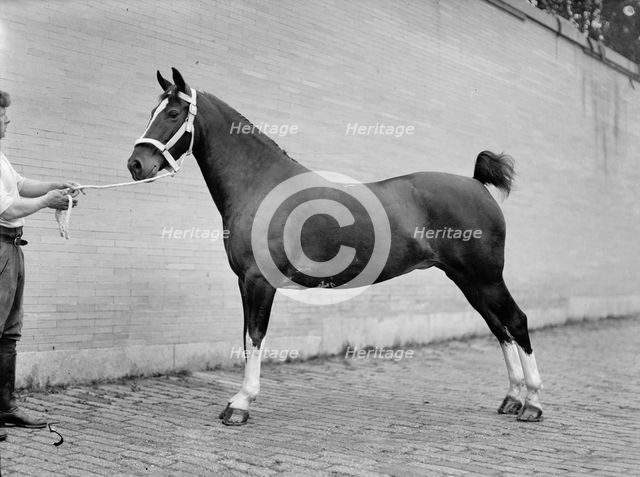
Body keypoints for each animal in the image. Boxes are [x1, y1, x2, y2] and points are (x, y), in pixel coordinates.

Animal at [127, 68, 543, 426]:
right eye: (152, 112)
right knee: (499, 328)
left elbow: (256, 337)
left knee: (516, 321)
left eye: (174, 113)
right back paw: (512, 398)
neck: (261, 184)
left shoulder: (259, 281)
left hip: (486, 278)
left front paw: (241, 404)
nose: (136, 164)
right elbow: (246, 339)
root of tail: (477, 184)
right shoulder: (244, 282)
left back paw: (533, 404)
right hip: (468, 281)